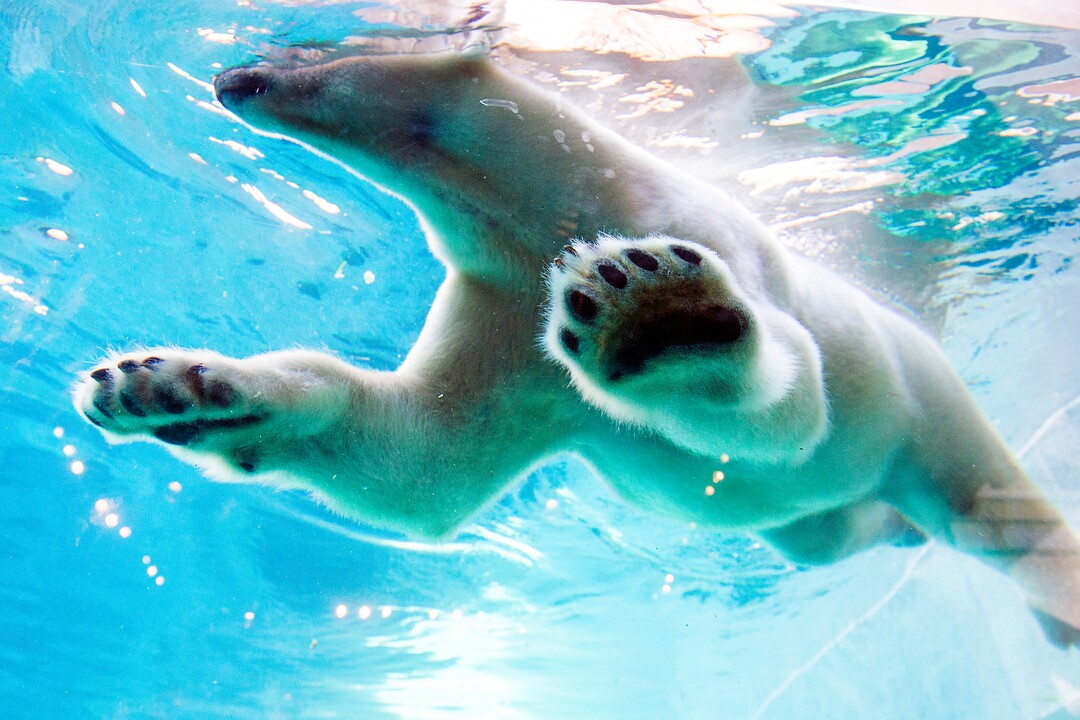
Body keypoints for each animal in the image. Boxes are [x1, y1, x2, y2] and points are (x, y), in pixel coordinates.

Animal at [74, 51, 1080, 645]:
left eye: (324, 58)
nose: (236, 75)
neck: (548, 217)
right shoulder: (511, 324)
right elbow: (422, 463)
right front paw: (163, 389)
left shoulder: (696, 234)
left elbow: (795, 411)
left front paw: (658, 314)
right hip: (821, 521)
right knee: (833, 531)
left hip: (930, 396)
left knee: (1000, 518)